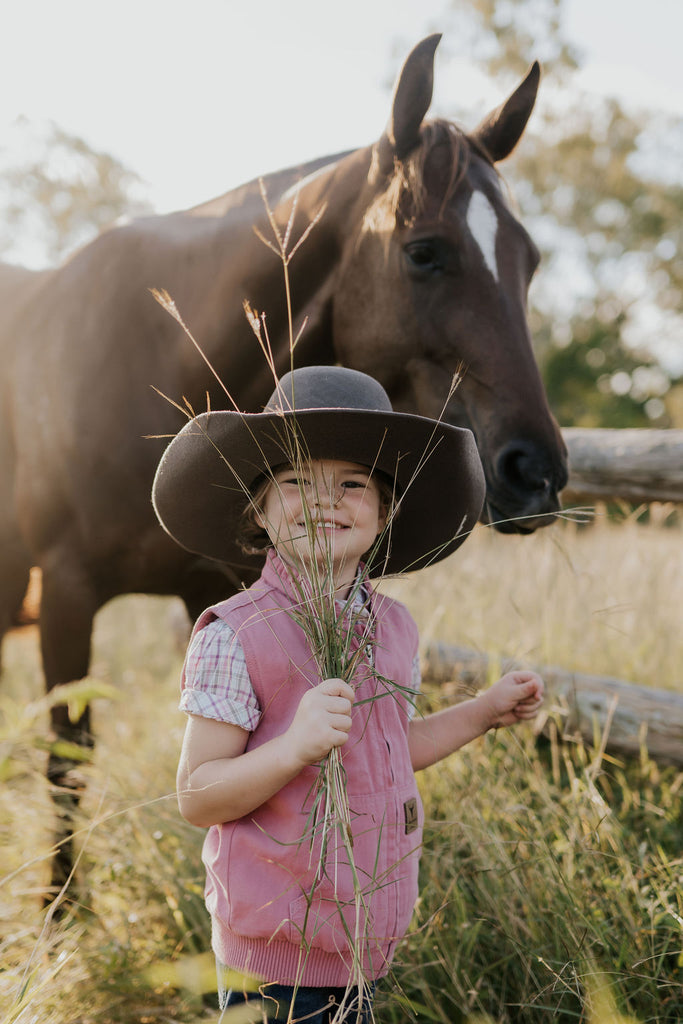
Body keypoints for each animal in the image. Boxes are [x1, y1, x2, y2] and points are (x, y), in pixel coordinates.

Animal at [0, 36, 565, 892]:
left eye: (528, 260)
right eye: (424, 252)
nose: (536, 470)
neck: (155, 366)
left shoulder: (213, 585)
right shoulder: (66, 591)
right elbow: (68, 758)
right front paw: (64, 911)